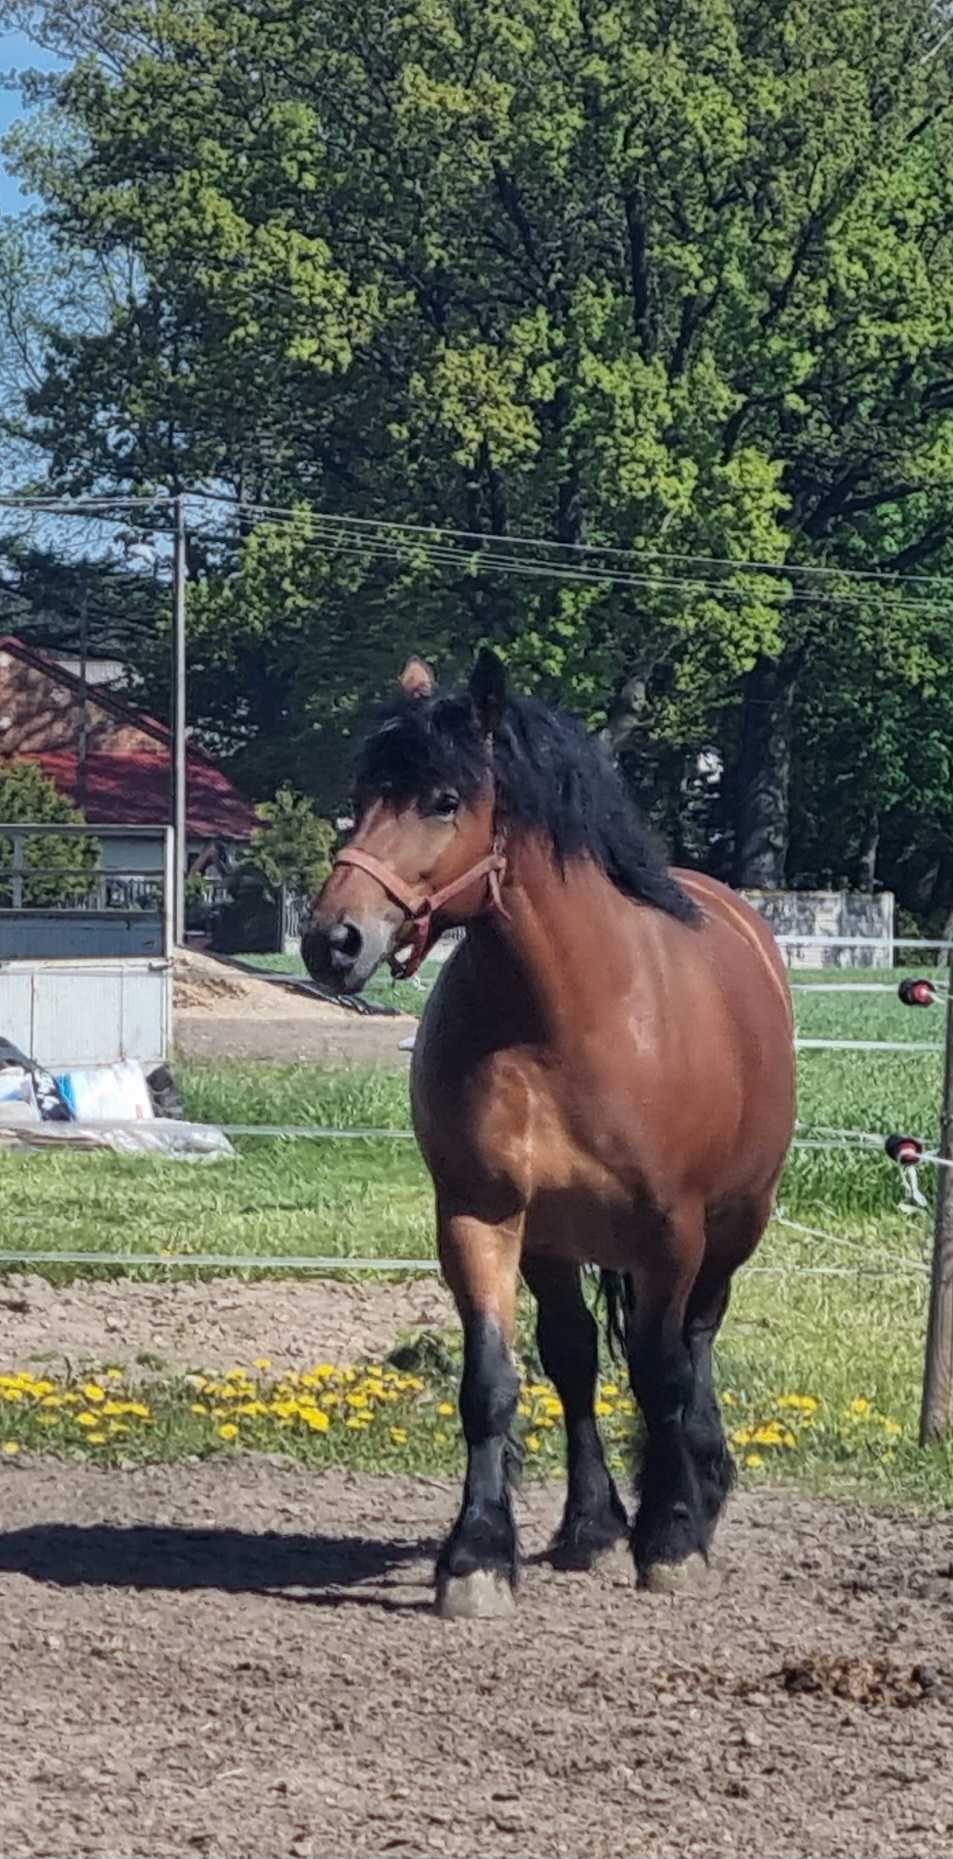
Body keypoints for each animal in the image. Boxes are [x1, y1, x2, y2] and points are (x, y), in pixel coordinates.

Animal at [300, 650, 791, 1613]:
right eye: (365, 791)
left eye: (443, 798)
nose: (331, 940)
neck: (561, 1021)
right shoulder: (481, 1216)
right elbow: (493, 1384)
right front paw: (478, 1556)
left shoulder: (672, 1231)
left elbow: (661, 1373)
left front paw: (671, 1536)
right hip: (557, 1243)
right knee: (573, 1359)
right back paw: (589, 1524)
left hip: (733, 1226)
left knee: (696, 1341)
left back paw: (699, 1486)